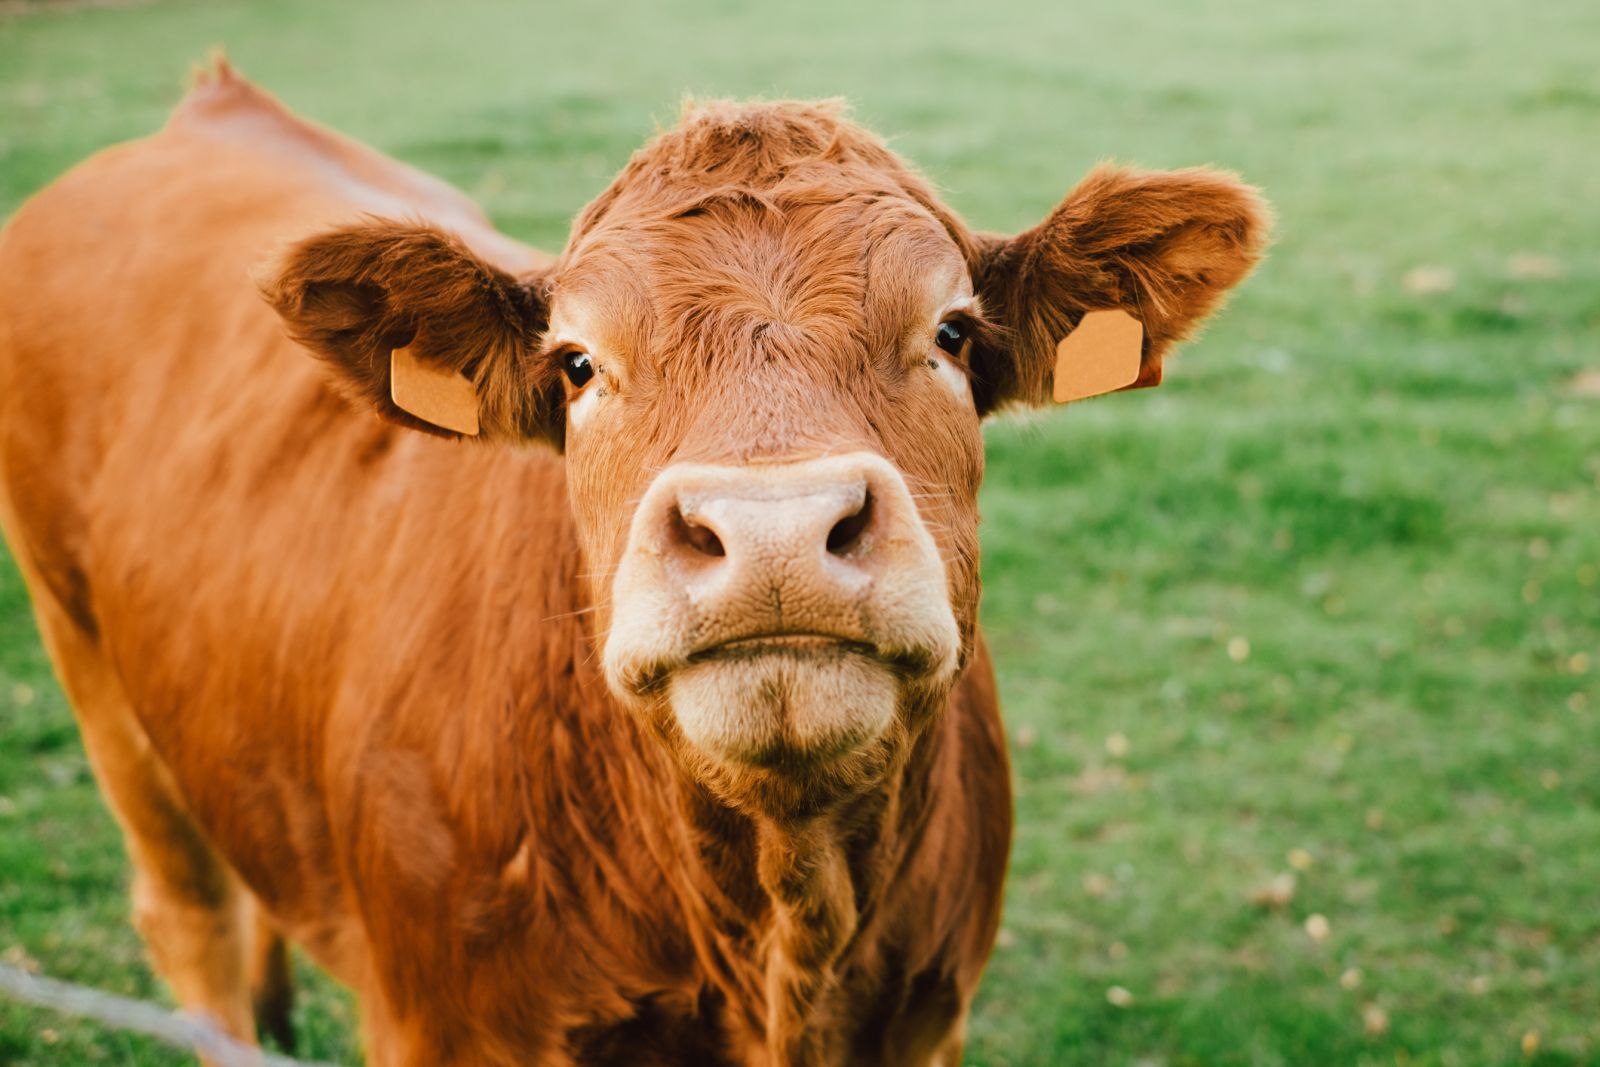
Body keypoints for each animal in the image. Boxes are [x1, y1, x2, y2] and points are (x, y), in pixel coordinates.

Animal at [0, 60, 1273, 1067]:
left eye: (952, 334)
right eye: (576, 364)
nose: (774, 533)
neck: (781, 924)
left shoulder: (926, 1013)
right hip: (86, 654)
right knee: (190, 915)